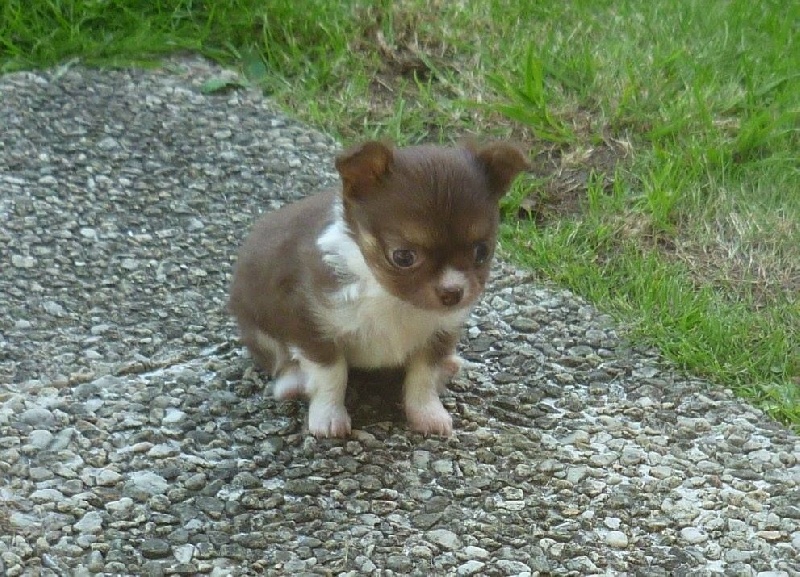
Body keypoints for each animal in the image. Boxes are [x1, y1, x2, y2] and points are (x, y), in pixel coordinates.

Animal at [228, 140, 528, 436]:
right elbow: (331, 373)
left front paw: (428, 414)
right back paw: (292, 383)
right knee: (278, 358)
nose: (453, 293)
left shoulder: (441, 332)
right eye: (403, 257)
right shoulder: (310, 323)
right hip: (256, 325)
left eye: (482, 252)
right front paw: (329, 417)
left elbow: (423, 376)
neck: (393, 298)